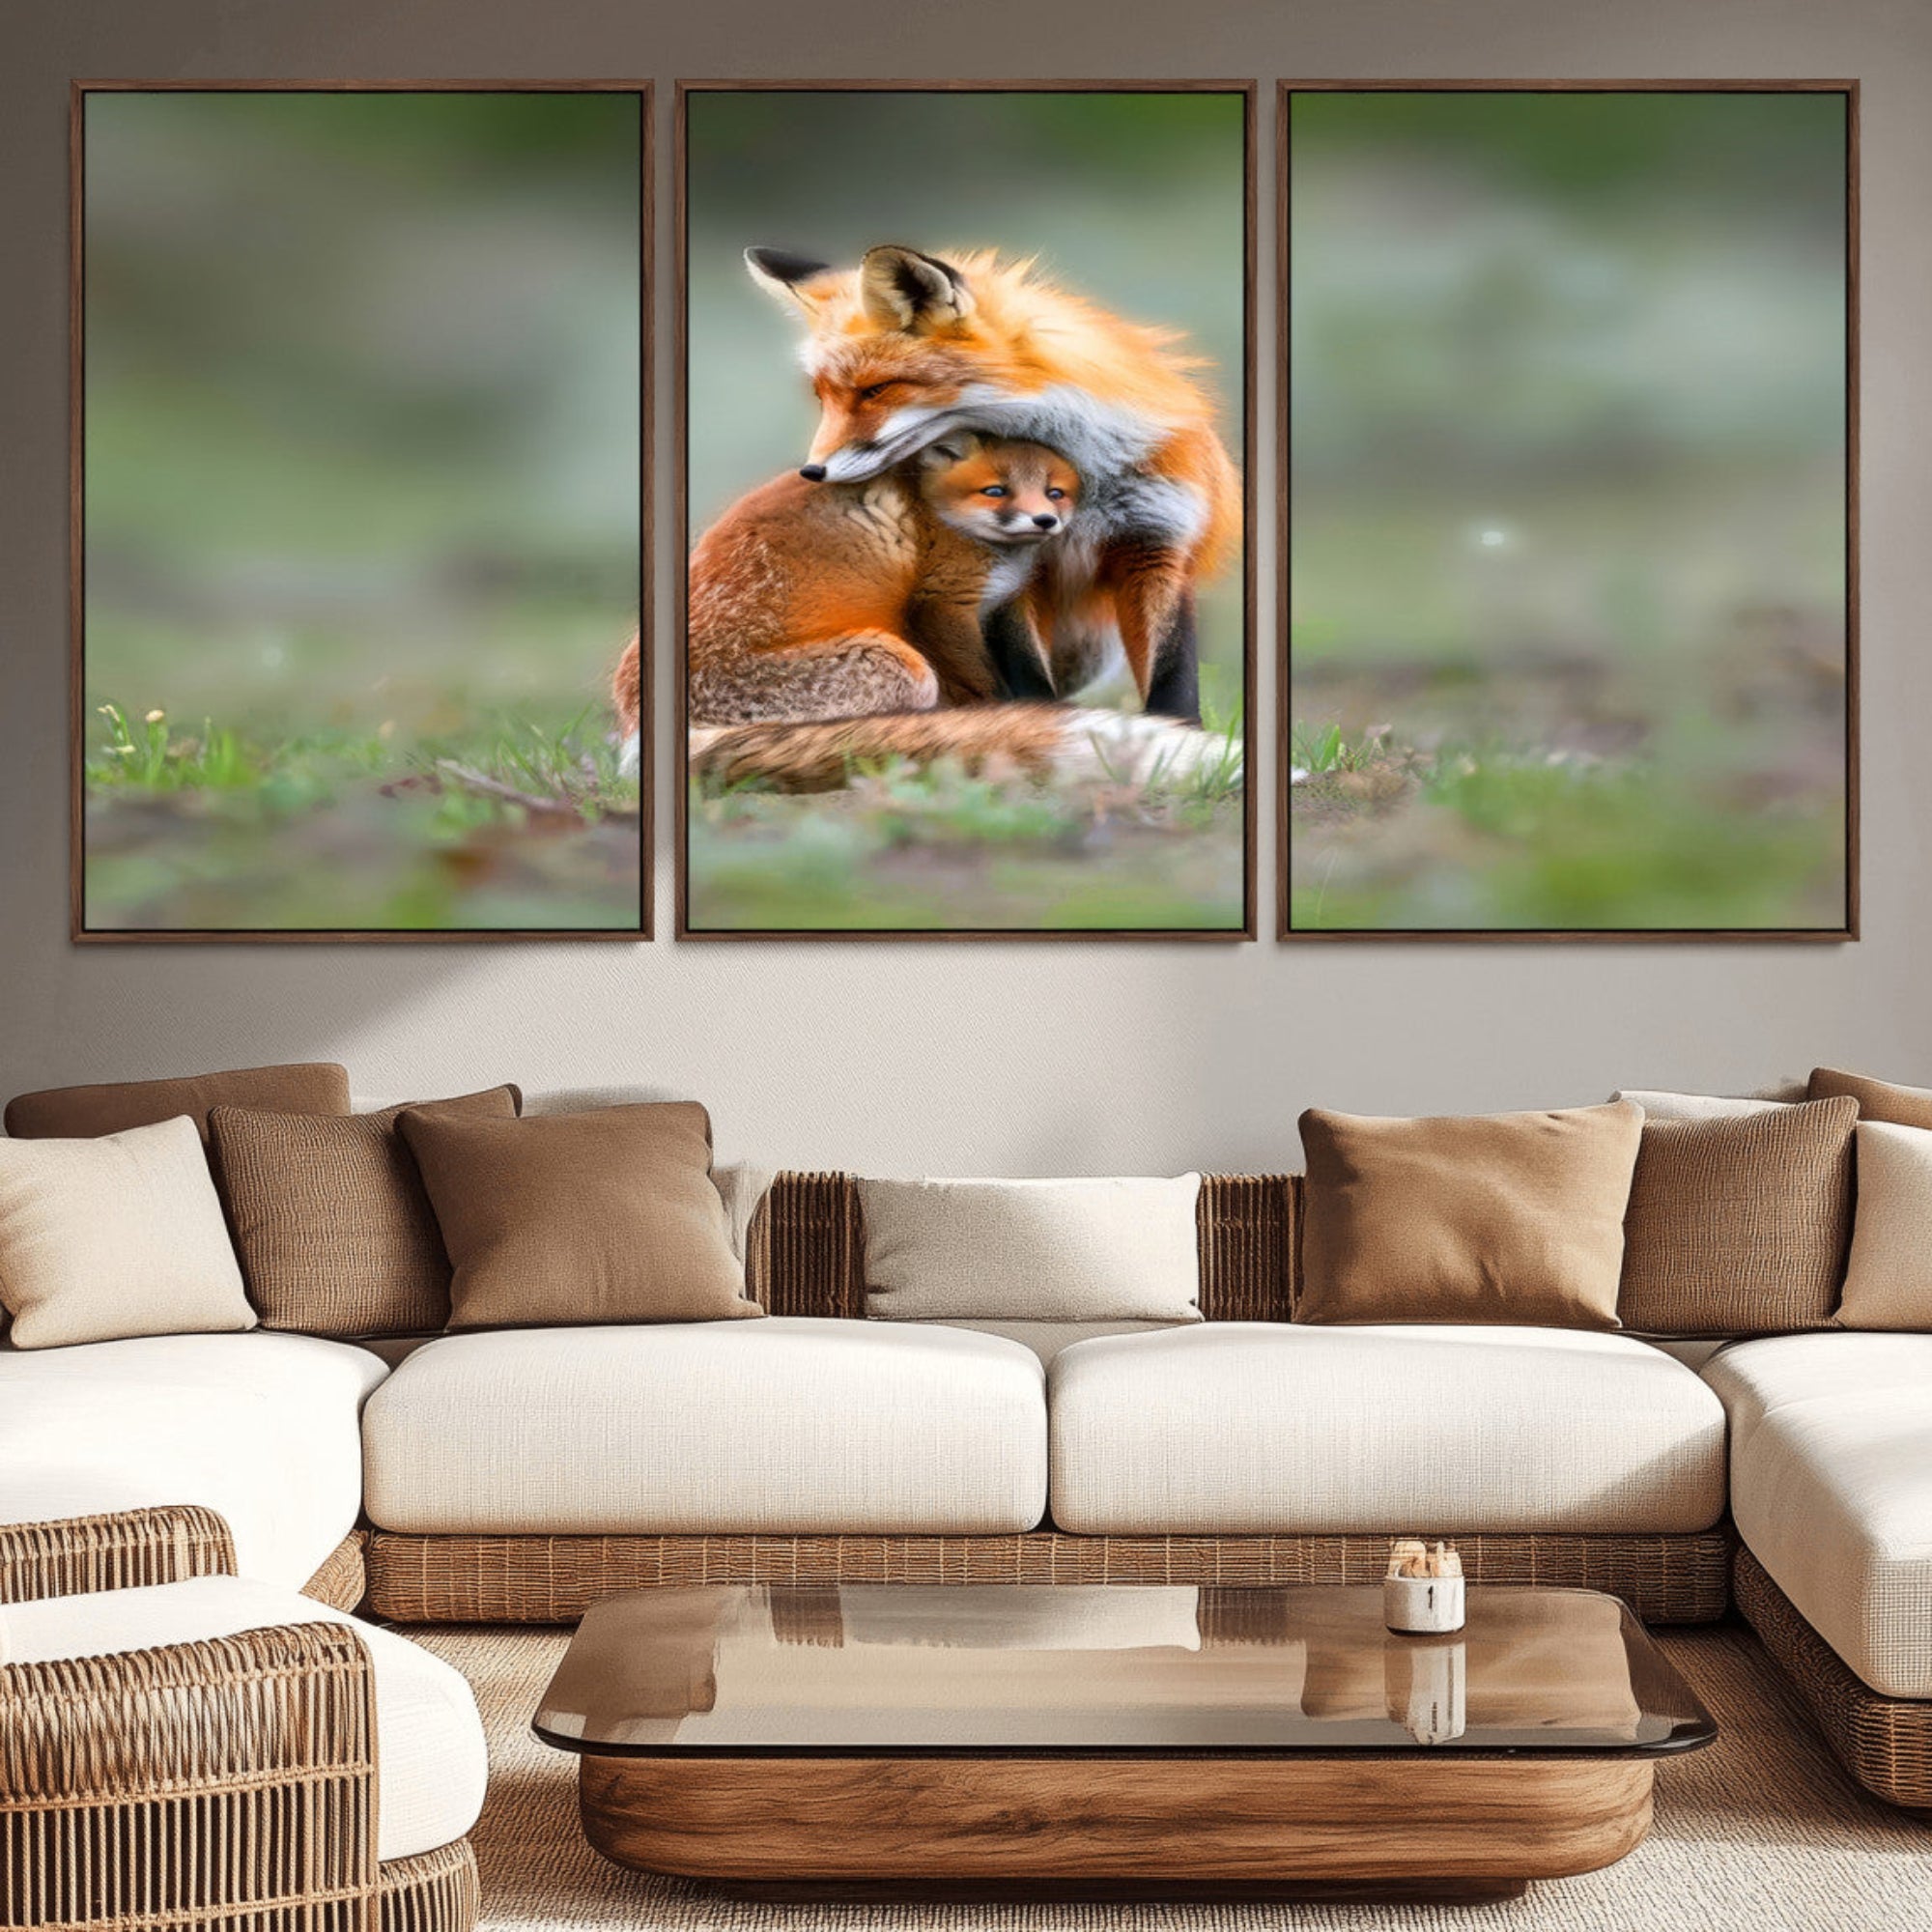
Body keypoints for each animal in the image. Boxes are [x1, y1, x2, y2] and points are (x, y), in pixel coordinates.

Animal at [745, 243, 1242, 721]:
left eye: (875, 390)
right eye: (822, 397)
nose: (812, 471)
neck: (1085, 481)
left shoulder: (1157, 544)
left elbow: (1174, 680)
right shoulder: (1015, 571)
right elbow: (1028, 675)